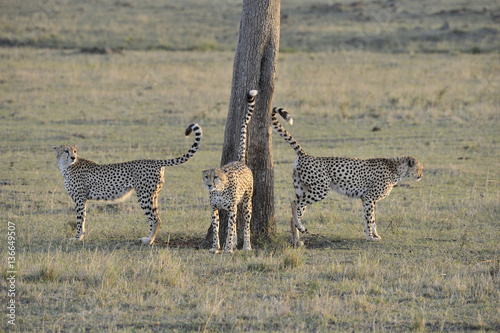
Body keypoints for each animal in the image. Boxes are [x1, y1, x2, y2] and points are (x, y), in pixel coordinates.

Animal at [53, 123, 202, 243]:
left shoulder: (79, 198)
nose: (73, 157)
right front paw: (81, 236)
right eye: (66, 150)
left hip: (144, 196)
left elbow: (79, 219)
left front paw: (77, 238)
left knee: (155, 219)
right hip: (153, 195)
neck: (66, 166)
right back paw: (148, 238)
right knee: (156, 218)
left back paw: (149, 241)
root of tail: (154, 161)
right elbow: (83, 218)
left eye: (74, 151)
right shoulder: (82, 199)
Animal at [201, 89, 256, 253]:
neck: (219, 190)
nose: (209, 185)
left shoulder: (231, 208)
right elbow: (216, 229)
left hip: (247, 202)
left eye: (216, 177)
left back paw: (246, 245)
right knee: (236, 221)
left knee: (245, 224)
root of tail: (240, 162)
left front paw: (228, 248)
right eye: (206, 176)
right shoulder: (214, 209)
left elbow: (230, 229)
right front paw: (215, 247)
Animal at [272, 107, 424, 245]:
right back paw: (300, 229)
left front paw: (374, 235)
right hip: (320, 190)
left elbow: (372, 219)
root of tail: (305, 155)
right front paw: (370, 237)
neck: (395, 169)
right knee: (294, 203)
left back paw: (297, 238)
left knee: (295, 213)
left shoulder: (367, 199)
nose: (421, 175)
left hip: (302, 190)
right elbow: (370, 219)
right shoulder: (369, 197)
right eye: (420, 168)